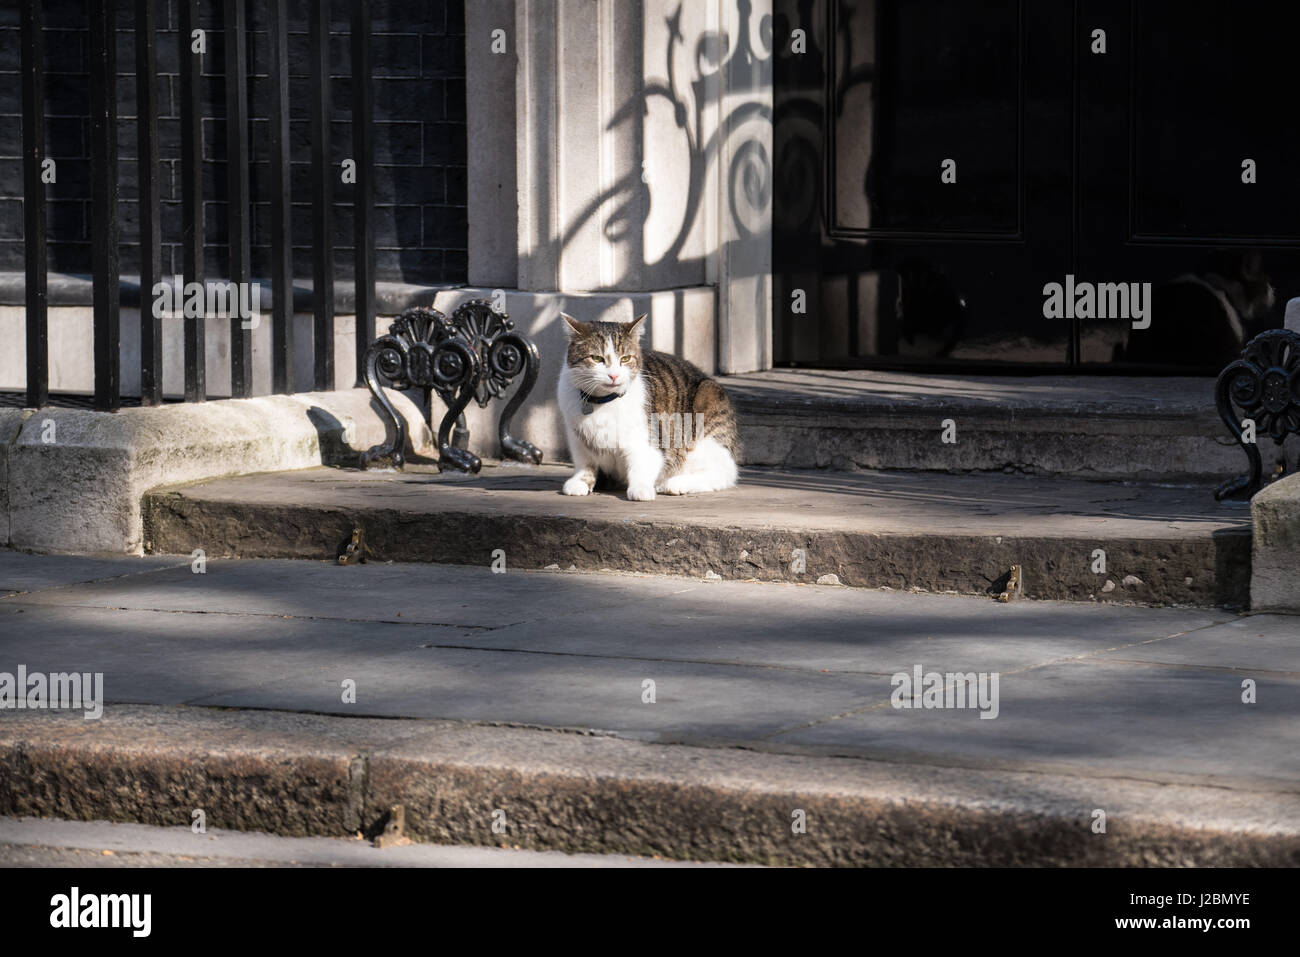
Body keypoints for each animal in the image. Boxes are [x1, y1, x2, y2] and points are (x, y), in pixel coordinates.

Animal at [556, 314, 743, 501]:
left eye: (625, 359)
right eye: (596, 358)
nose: (614, 375)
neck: (602, 402)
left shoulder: (645, 439)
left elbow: (641, 464)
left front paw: (640, 488)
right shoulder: (578, 440)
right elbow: (585, 463)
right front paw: (580, 481)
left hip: (707, 411)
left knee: (723, 474)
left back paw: (674, 483)